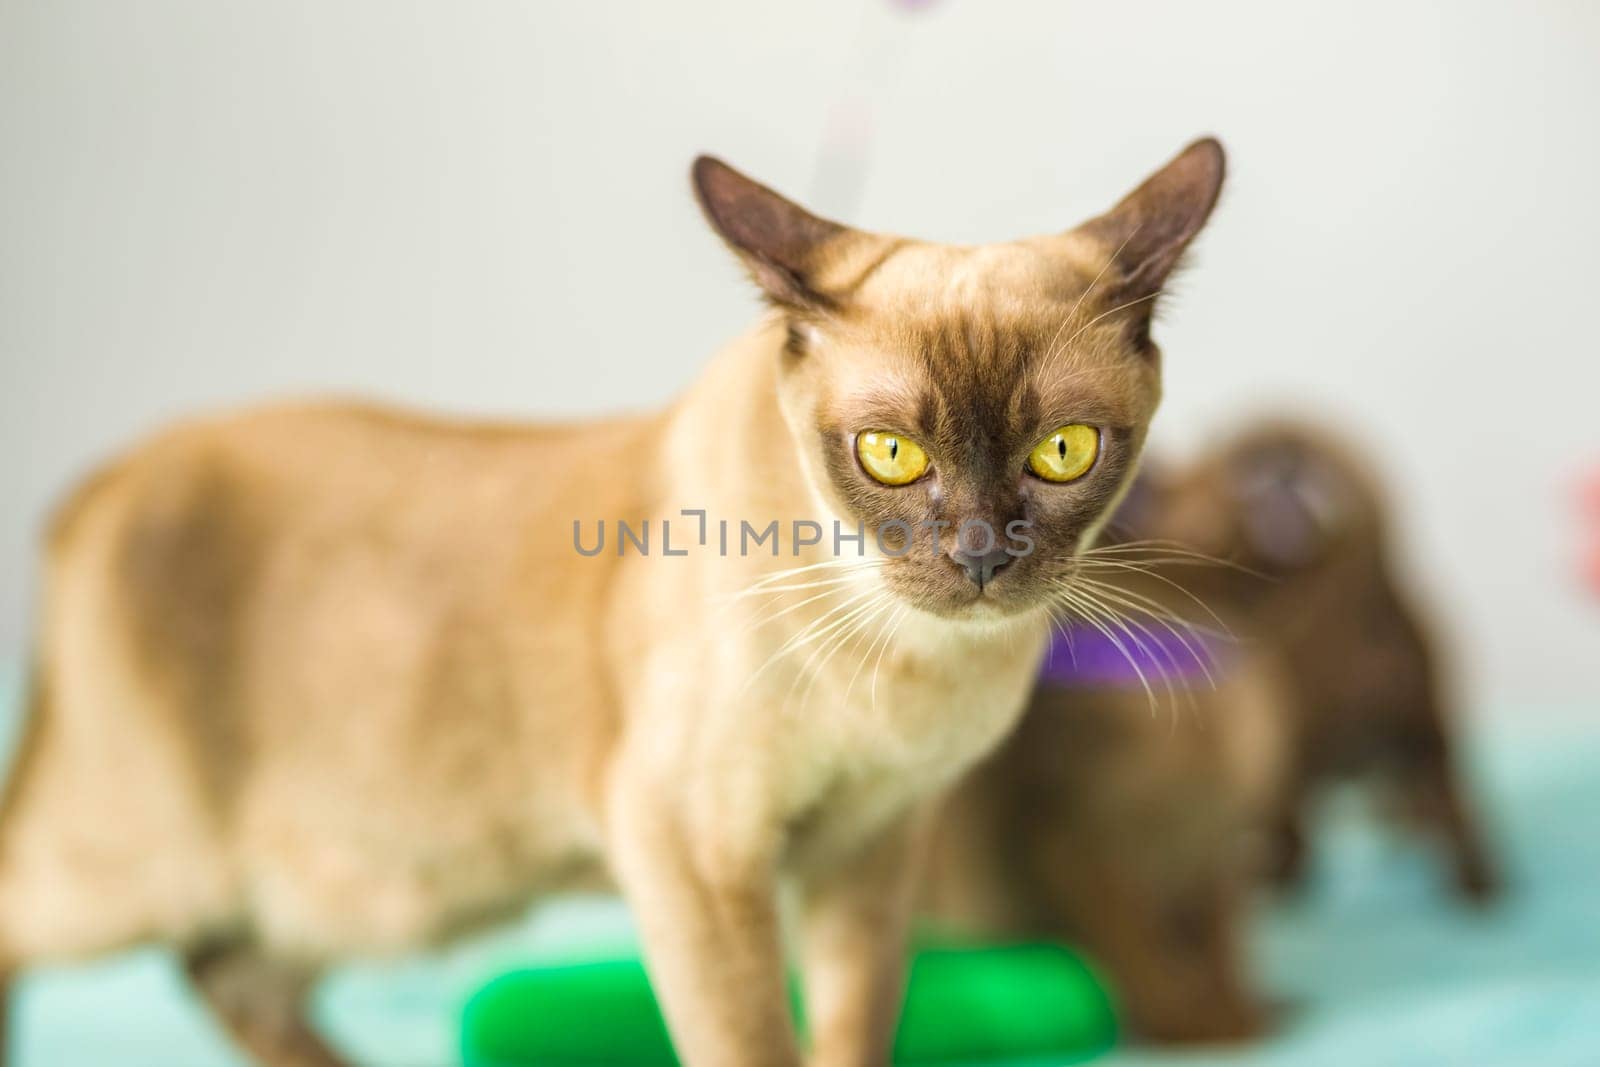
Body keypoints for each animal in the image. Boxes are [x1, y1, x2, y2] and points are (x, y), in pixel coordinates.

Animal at [3, 141, 1222, 1067]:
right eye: (891, 453)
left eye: (1062, 452)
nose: (978, 557)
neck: (907, 669)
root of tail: (108, 473)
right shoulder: (696, 849)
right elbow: (749, 1046)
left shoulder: (868, 856)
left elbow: (846, 1039)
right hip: (143, 864)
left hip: (346, 882)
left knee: (229, 971)